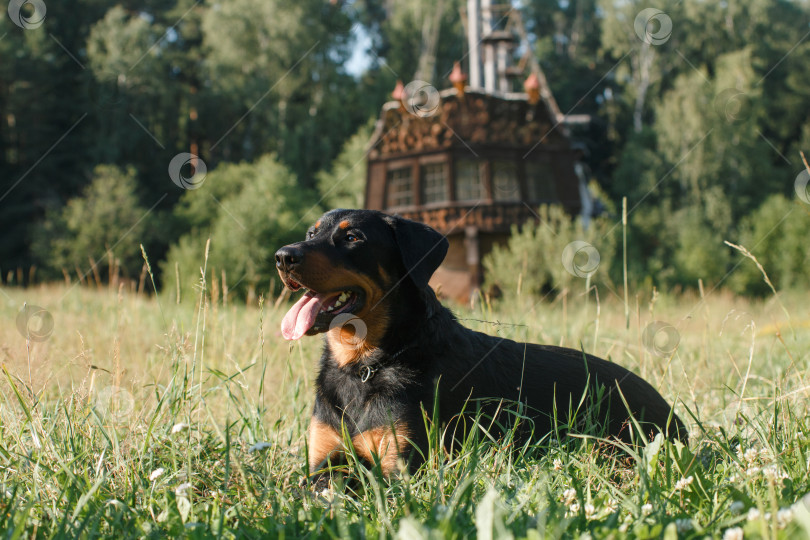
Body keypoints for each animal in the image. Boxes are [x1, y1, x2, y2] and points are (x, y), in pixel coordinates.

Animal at [274, 209, 684, 478]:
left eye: (352, 237)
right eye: (311, 234)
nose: (283, 256)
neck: (363, 366)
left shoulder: (400, 467)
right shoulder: (321, 460)